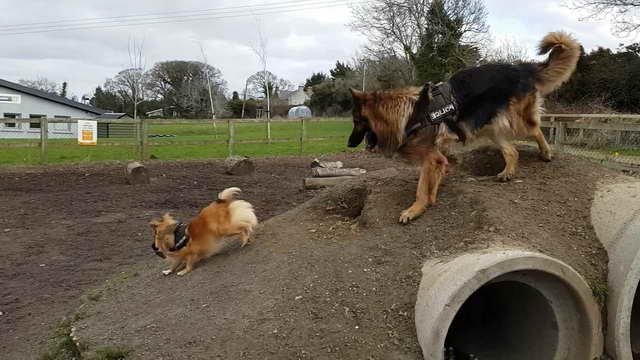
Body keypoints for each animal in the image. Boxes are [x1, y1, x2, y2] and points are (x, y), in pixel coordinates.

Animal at [348, 31, 584, 222]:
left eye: (357, 122)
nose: (349, 144)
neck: (410, 114)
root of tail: (520, 68)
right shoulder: (436, 157)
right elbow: (434, 177)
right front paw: (430, 199)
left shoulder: (430, 157)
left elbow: (421, 187)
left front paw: (415, 209)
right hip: (489, 127)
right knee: (512, 151)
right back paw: (507, 172)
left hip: (515, 121)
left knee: (535, 129)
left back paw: (546, 153)